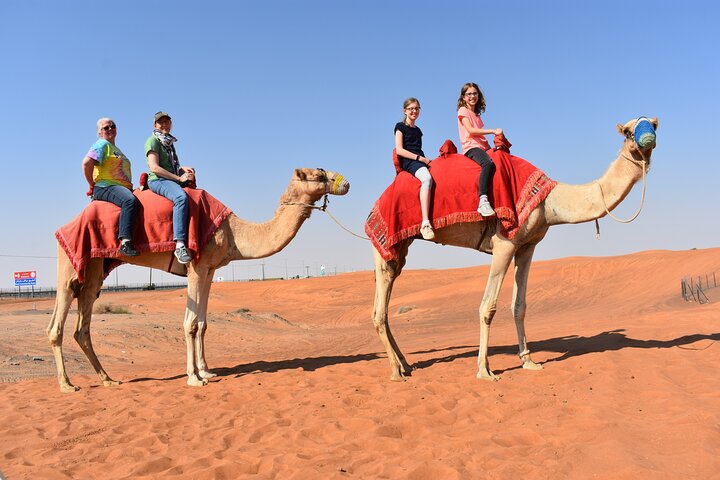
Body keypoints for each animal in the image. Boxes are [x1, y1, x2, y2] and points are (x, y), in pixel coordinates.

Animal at [47, 168, 349, 392]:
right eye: (318, 174)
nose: (346, 182)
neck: (233, 231)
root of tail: (65, 226)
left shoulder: (210, 269)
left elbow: (203, 323)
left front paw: (207, 370)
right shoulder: (195, 264)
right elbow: (190, 324)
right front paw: (194, 377)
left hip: (96, 268)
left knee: (83, 324)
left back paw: (108, 379)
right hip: (70, 262)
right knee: (57, 323)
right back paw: (67, 384)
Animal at [371, 117, 658, 381]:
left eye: (654, 124)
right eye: (628, 131)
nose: (649, 139)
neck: (549, 202)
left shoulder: (527, 246)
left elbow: (519, 306)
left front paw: (528, 361)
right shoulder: (504, 244)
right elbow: (487, 307)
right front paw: (484, 370)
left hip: (401, 248)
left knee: (383, 301)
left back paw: (405, 365)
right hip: (388, 242)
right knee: (380, 308)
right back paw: (396, 371)